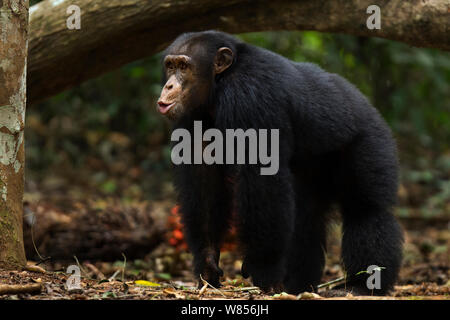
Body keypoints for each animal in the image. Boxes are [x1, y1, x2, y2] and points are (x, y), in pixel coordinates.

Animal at [156, 30, 402, 296]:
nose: (169, 85)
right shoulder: (194, 116)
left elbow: (261, 175)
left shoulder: (251, 98)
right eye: (170, 66)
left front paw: (262, 267)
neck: (220, 84)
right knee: (307, 218)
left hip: (370, 140)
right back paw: (299, 286)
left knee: (366, 210)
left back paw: (362, 286)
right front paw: (207, 261)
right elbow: (204, 177)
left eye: (184, 66)